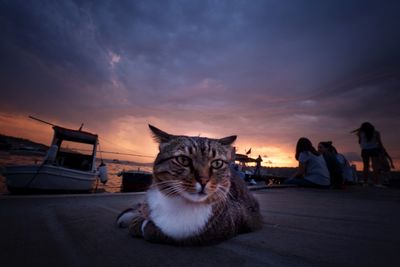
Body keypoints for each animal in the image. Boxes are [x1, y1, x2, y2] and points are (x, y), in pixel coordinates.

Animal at [117, 125, 262, 247]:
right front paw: (137, 219)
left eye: (217, 163)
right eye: (183, 160)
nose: (203, 180)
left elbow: (161, 232)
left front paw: (144, 225)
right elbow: (141, 215)